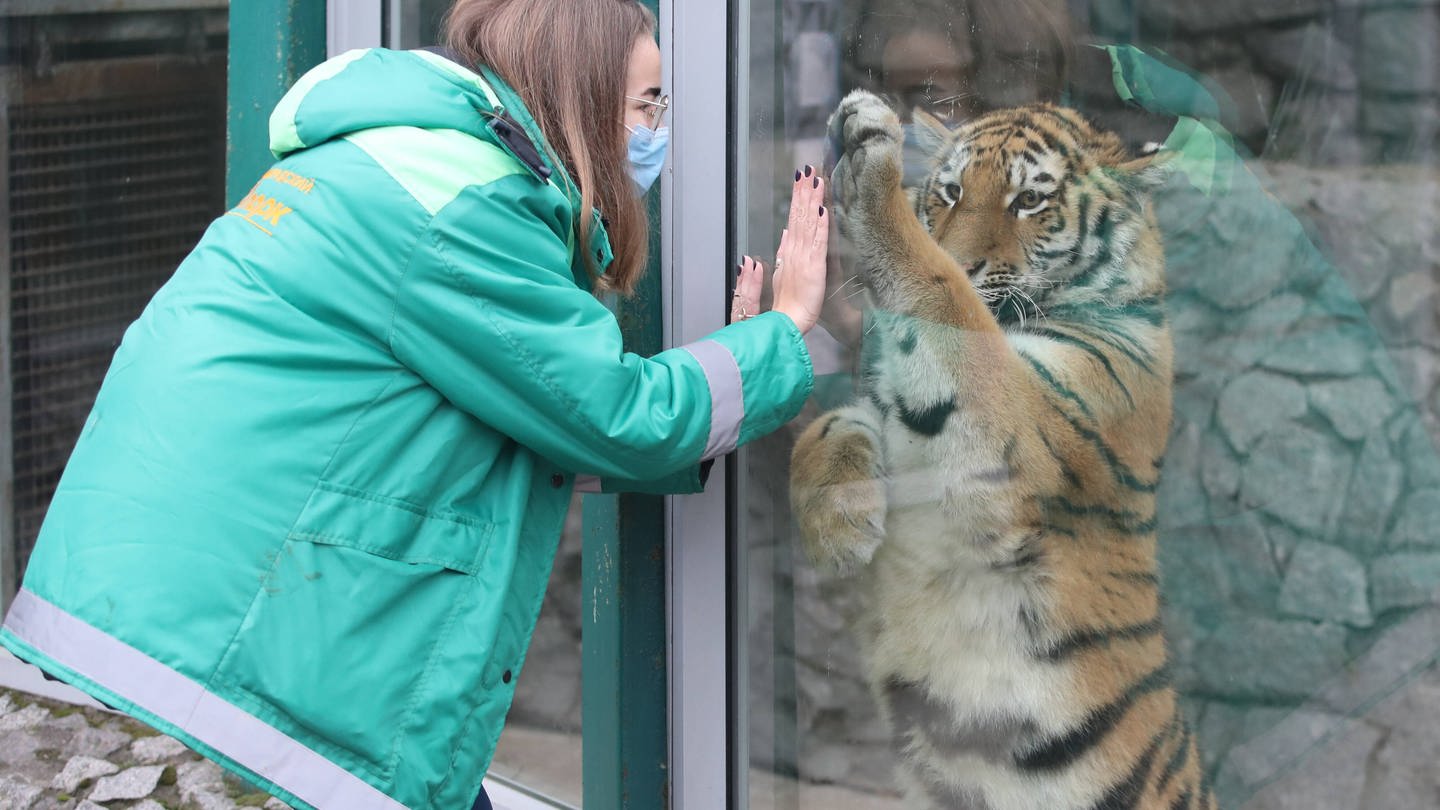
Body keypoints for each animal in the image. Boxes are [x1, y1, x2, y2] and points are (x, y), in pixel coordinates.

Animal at [789, 89, 1215, 807]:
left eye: (1029, 201)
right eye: (952, 191)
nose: (964, 257)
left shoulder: (1015, 426)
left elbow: (943, 293)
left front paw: (871, 161)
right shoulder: (893, 410)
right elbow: (831, 425)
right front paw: (837, 529)